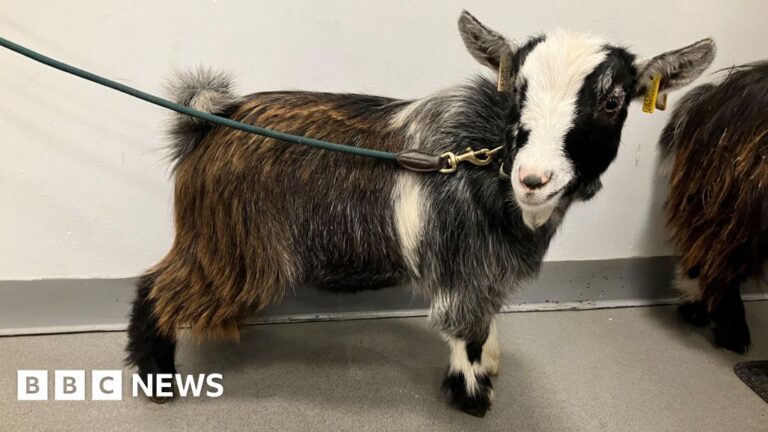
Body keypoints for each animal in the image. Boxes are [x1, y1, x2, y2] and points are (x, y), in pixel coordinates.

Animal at [126, 11, 715, 416]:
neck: (487, 162)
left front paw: (490, 365)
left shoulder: (487, 270)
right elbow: (466, 329)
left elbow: (486, 321)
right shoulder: (464, 267)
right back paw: (159, 381)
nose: (534, 178)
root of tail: (207, 124)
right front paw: (474, 396)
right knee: (157, 285)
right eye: (518, 92)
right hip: (233, 250)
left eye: (613, 102)